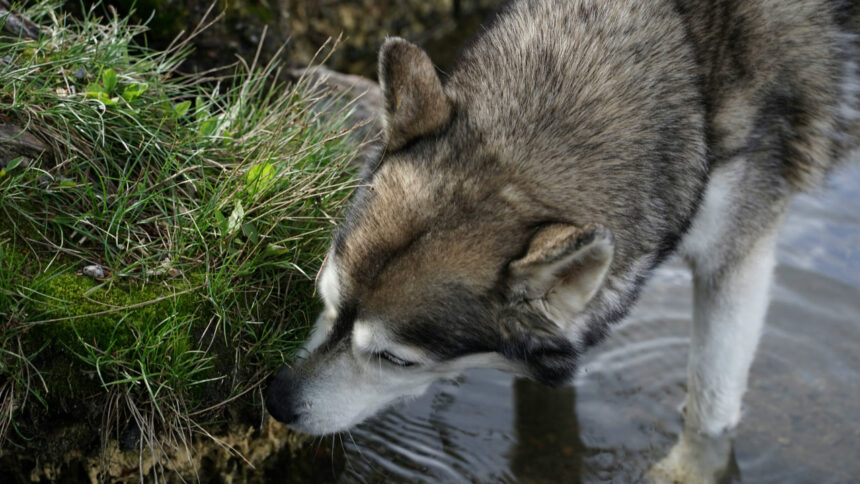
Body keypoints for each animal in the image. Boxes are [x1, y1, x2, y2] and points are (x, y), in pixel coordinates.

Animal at [266, 1, 856, 480]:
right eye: (325, 299)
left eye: (395, 360)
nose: (276, 399)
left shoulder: (738, 258)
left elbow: (711, 403)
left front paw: (687, 471)